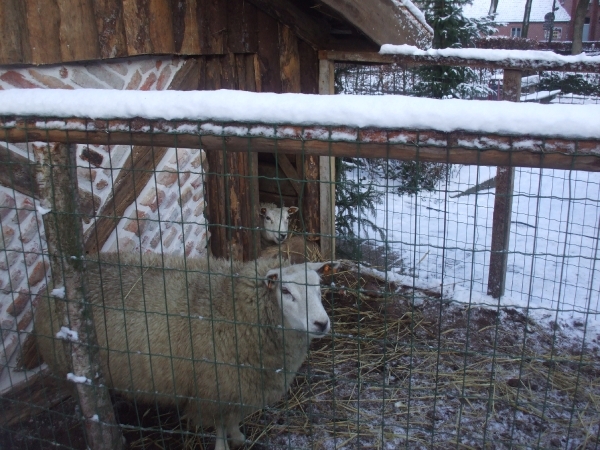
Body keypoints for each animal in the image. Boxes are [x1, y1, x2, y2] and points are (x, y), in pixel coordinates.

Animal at [35, 253, 340, 450]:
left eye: (318, 286)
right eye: (285, 291)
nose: (321, 323)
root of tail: (54, 283)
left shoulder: (238, 387)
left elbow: (232, 419)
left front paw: (239, 438)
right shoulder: (212, 389)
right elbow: (219, 425)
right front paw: (223, 445)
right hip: (66, 362)